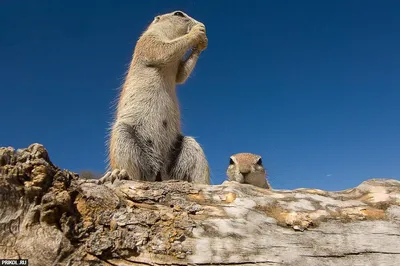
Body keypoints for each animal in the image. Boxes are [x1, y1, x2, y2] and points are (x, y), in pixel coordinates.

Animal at [97, 10, 209, 185]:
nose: (202, 24)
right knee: (134, 172)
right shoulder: (148, 40)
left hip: (189, 147)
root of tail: (159, 173)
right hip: (123, 135)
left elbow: (181, 75)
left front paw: (202, 42)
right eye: (178, 14)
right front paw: (197, 32)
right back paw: (118, 174)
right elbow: (163, 50)